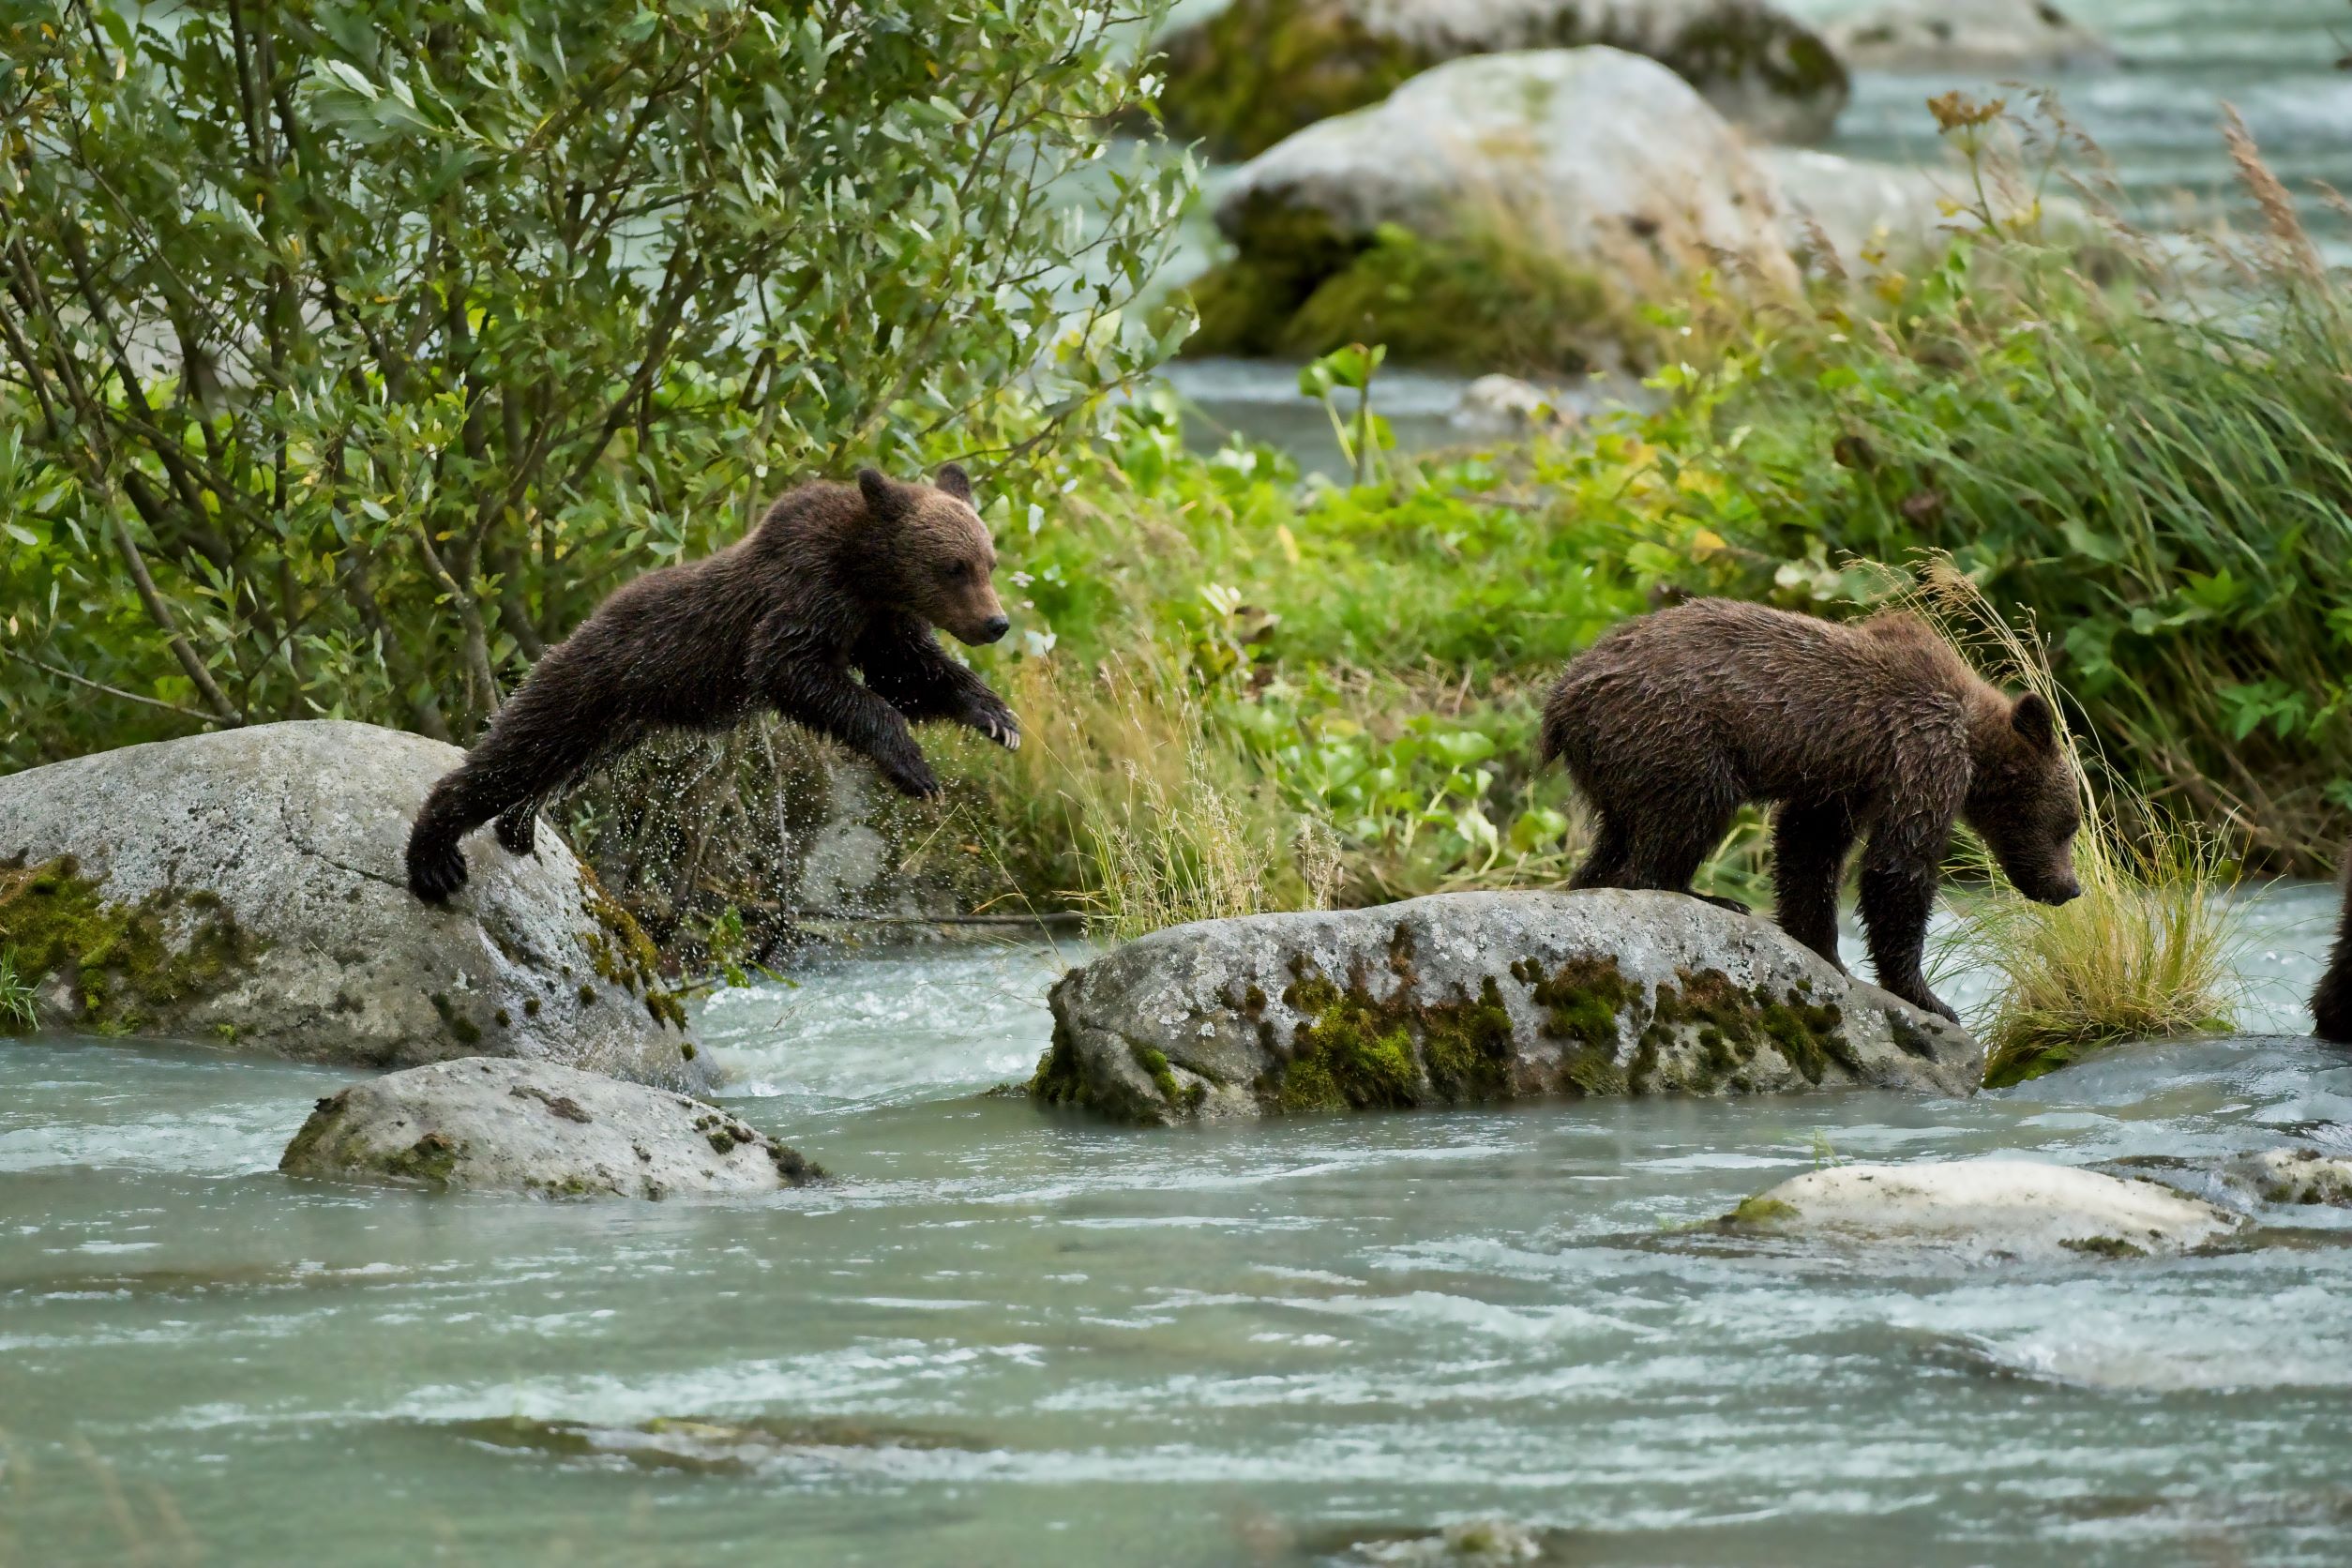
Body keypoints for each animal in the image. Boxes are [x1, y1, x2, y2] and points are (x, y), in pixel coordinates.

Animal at [404, 464, 1017, 904]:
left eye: (989, 561)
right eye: (954, 566)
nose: (996, 623)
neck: (865, 572)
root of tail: (572, 632)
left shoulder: (880, 623)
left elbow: (913, 674)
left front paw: (997, 719)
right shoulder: (804, 595)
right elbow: (796, 669)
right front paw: (916, 770)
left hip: (617, 725)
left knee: (555, 766)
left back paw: (518, 824)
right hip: (589, 682)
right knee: (513, 754)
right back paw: (434, 858)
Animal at [1538, 597, 2082, 1022]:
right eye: (2069, 826)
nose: (2069, 888)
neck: (1973, 739)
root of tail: (1562, 695)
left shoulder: (1845, 781)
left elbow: (1810, 847)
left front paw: (1825, 952)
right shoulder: (1922, 754)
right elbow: (1898, 867)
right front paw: (1929, 996)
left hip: (1617, 760)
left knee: (1616, 837)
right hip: (1673, 729)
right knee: (1689, 810)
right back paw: (1709, 896)